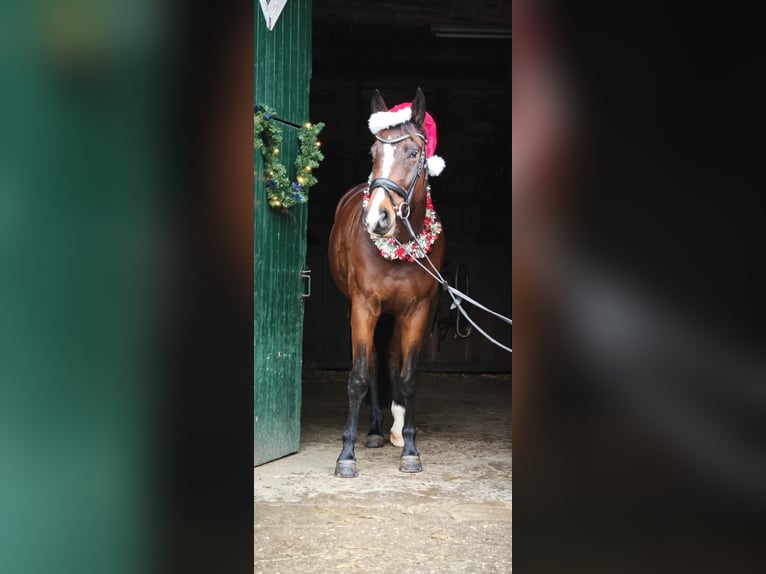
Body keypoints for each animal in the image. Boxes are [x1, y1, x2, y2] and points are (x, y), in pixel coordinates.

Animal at [328, 88, 448, 480]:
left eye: (413, 153)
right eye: (373, 153)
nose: (377, 218)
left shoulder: (419, 309)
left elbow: (408, 376)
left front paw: (410, 448)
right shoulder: (364, 306)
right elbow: (359, 375)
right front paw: (346, 454)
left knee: (393, 357)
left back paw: (395, 429)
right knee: (375, 361)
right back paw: (376, 430)